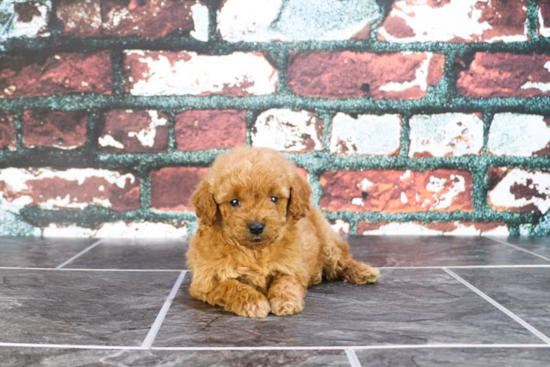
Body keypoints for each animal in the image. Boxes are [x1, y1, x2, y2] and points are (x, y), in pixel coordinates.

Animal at [185, 147, 380, 320]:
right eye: (234, 202)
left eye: (274, 198)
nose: (256, 226)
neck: (256, 251)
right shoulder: (206, 281)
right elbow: (231, 286)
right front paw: (253, 302)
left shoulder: (292, 267)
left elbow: (285, 282)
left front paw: (285, 302)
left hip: (327, 241)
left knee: (342, 259)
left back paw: (364, 271)